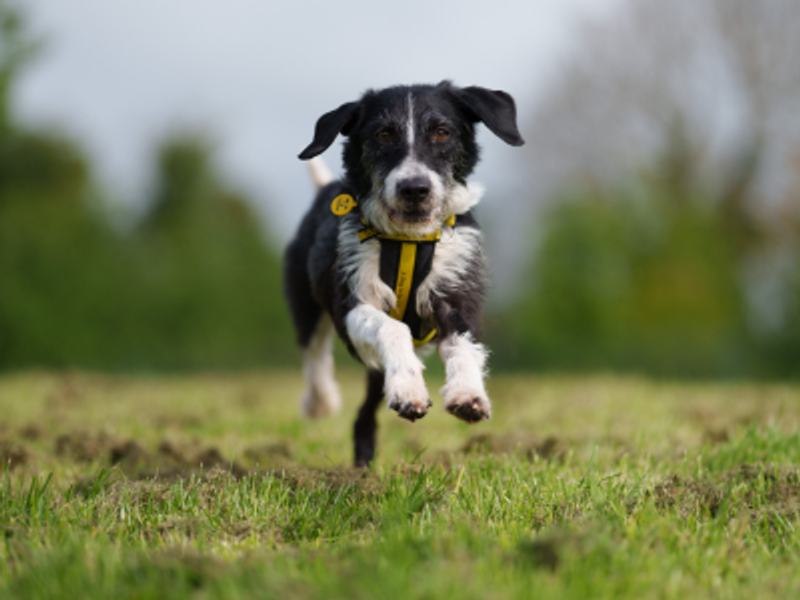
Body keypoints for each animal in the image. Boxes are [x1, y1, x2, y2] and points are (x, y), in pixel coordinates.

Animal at [286, 79, 524, 466]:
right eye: (383, 134)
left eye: (442, 132)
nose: (415, 188)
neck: (409, 240)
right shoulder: (351, 300)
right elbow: (392, 327)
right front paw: (409, 389)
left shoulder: (457, 291)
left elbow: (464, 345)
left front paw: (468, 393)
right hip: (305, 303)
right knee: (315, 354)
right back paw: (321, 403)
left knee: (364, 415)